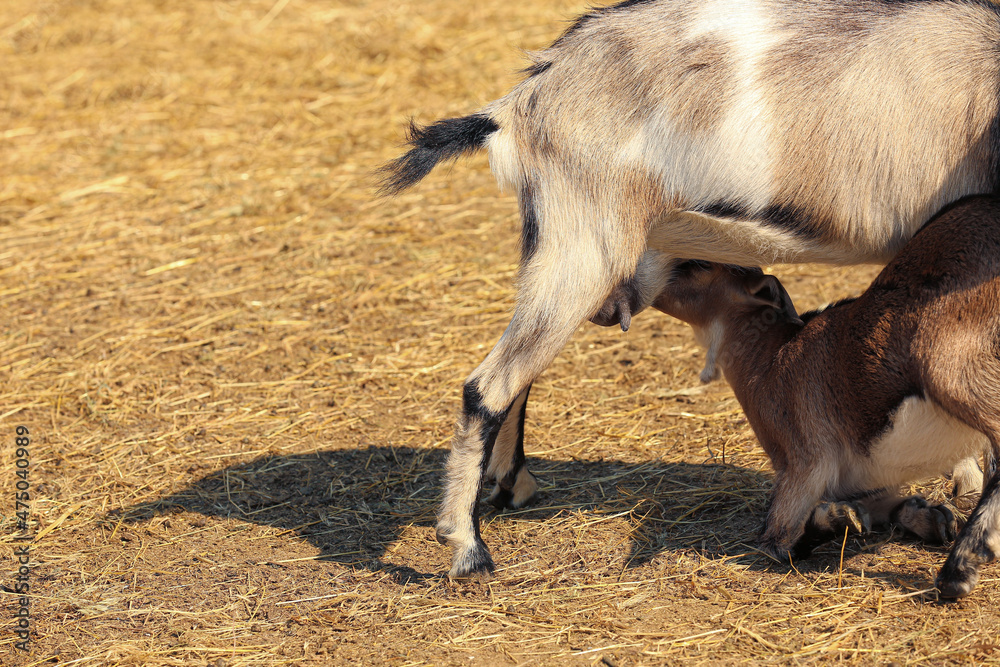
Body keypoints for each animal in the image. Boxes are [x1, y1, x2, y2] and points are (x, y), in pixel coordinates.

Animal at [380, 0, 1000, 580]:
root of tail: (520, 103)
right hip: (583, 251)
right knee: (487, 386)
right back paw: (468, 549)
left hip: (559, 254)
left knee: (518, 375)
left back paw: (512, 489)